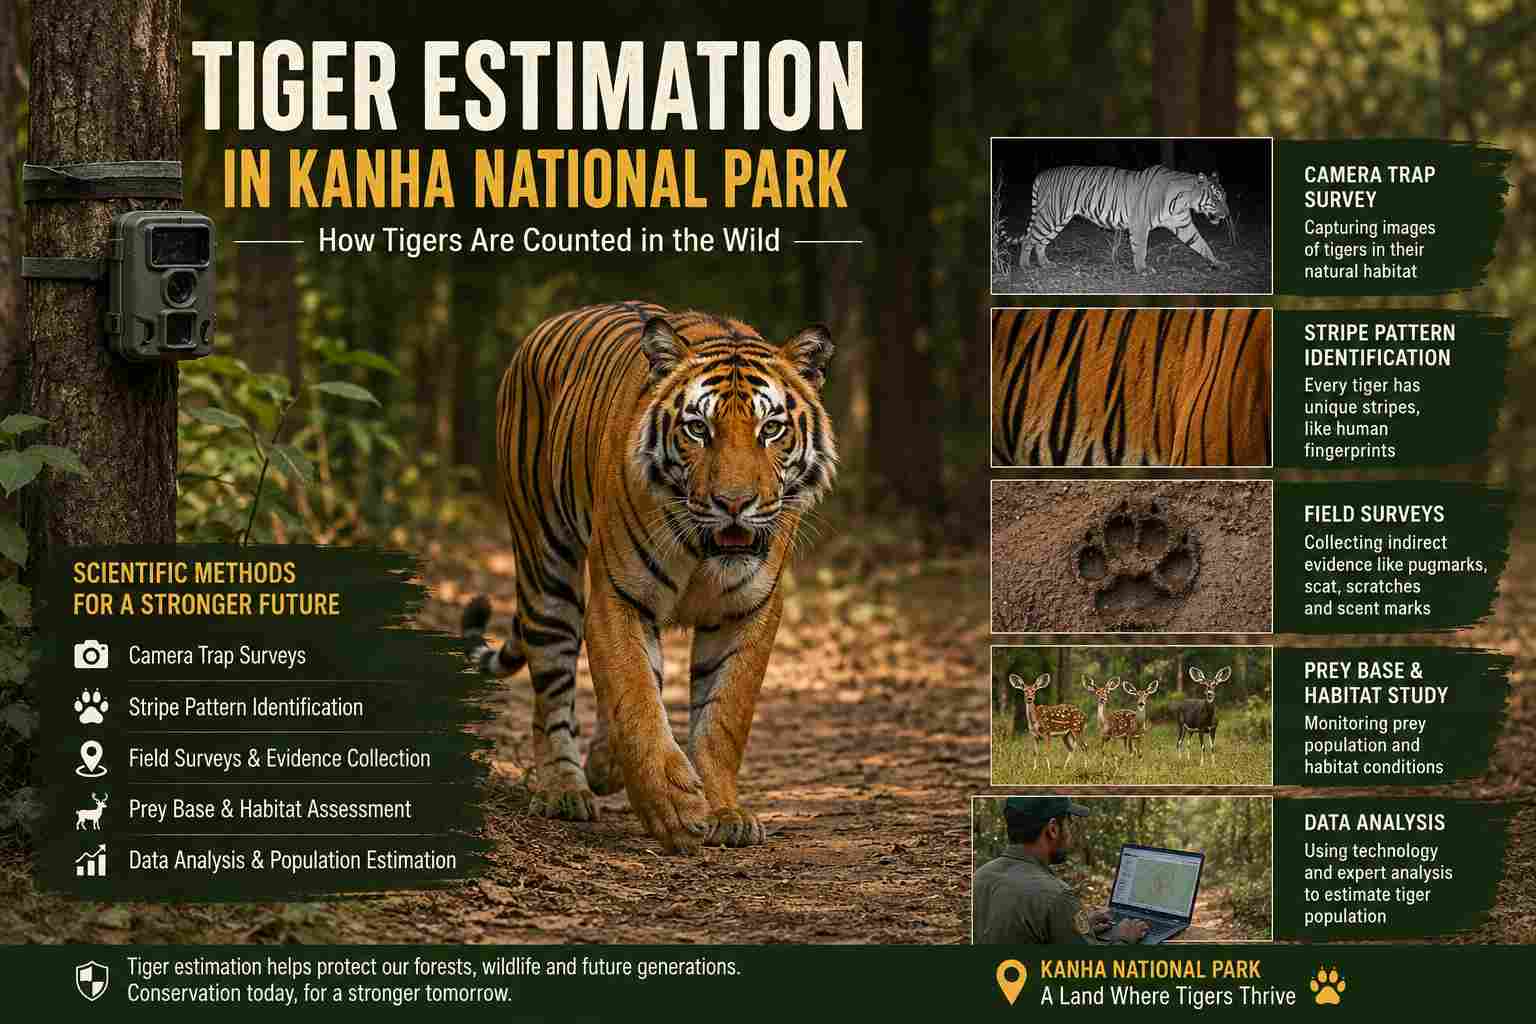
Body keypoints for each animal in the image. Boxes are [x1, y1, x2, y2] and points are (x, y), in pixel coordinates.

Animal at [462, 301, 836, 854]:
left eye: (770, 429)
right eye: (698, 429)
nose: (734, 503)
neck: (704, 552)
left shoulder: (751, 609)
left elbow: (724, 717)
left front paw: (725, 812)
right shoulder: (619, 598)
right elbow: (636, 697)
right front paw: (674, 811)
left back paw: (603, 767)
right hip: (545, 564)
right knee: (551, 690)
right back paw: (564, 790)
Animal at [1019, 165, 1230, 273]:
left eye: (1224, 197)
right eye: (1216, 198)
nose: (1227, 214)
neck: (1184, 201)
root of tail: (1042, 174)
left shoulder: (1183, 225)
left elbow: (1202, 244)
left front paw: (1218, 263)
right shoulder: (1140, 225)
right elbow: (1141, 248)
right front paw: (1142, 269)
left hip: (1058, 220)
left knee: (1040, 242)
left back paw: (1045, 264)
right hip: (1051, 215)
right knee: (1029, 239)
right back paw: (1024, 265)